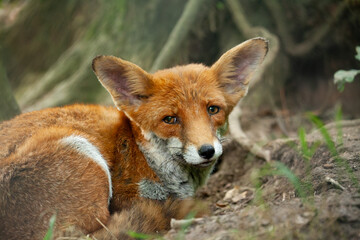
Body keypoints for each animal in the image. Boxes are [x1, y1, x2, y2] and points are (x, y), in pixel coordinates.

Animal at [0, 37, 268, 238]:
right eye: (170, 119)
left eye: (213, 109)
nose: (207, 150)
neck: (142, 153)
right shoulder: (126, 196)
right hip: (81, 151)